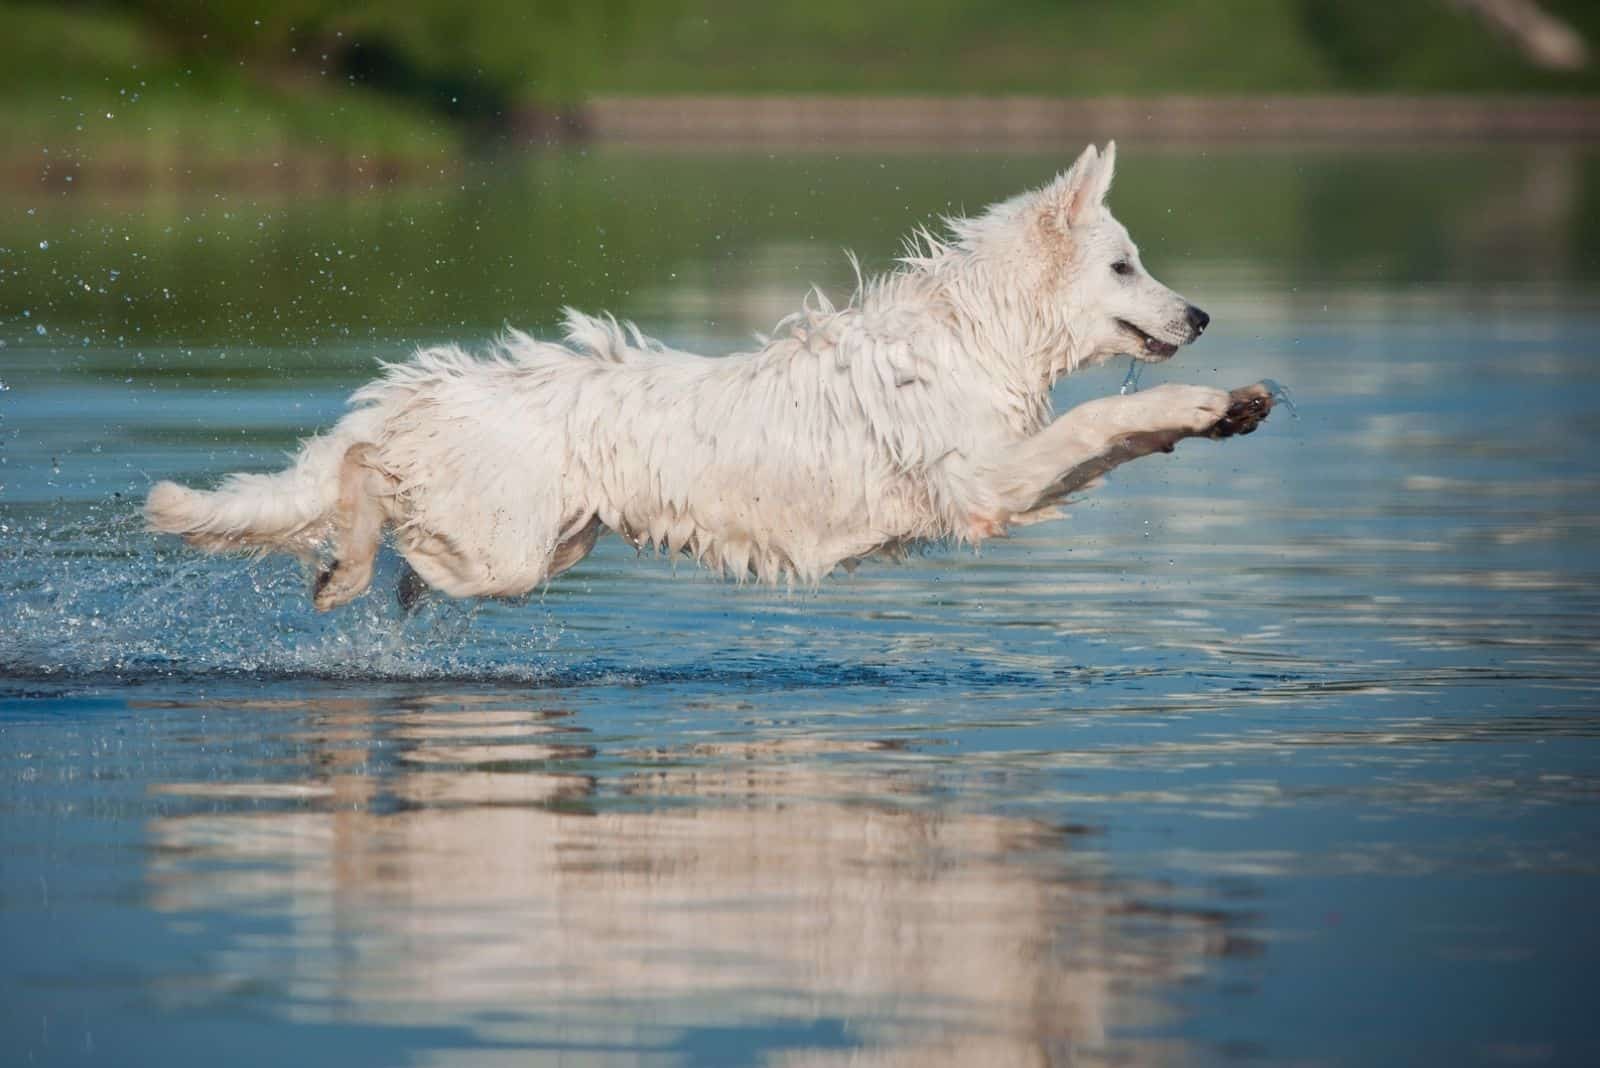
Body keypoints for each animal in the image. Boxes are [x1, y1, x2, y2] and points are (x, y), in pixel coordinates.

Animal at [150, 141, 1273, 607]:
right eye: (1124, 266)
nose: (1203, 315)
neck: (974, 333)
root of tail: (418, 388)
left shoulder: (1013, 483)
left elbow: (1120, 440)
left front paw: (1226, 410)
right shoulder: (987, 484)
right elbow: (1097, 427)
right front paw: (1203, 398)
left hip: (551, 544)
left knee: (396, 539)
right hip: (503, 552)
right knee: (369, 493)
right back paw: (342, 566)